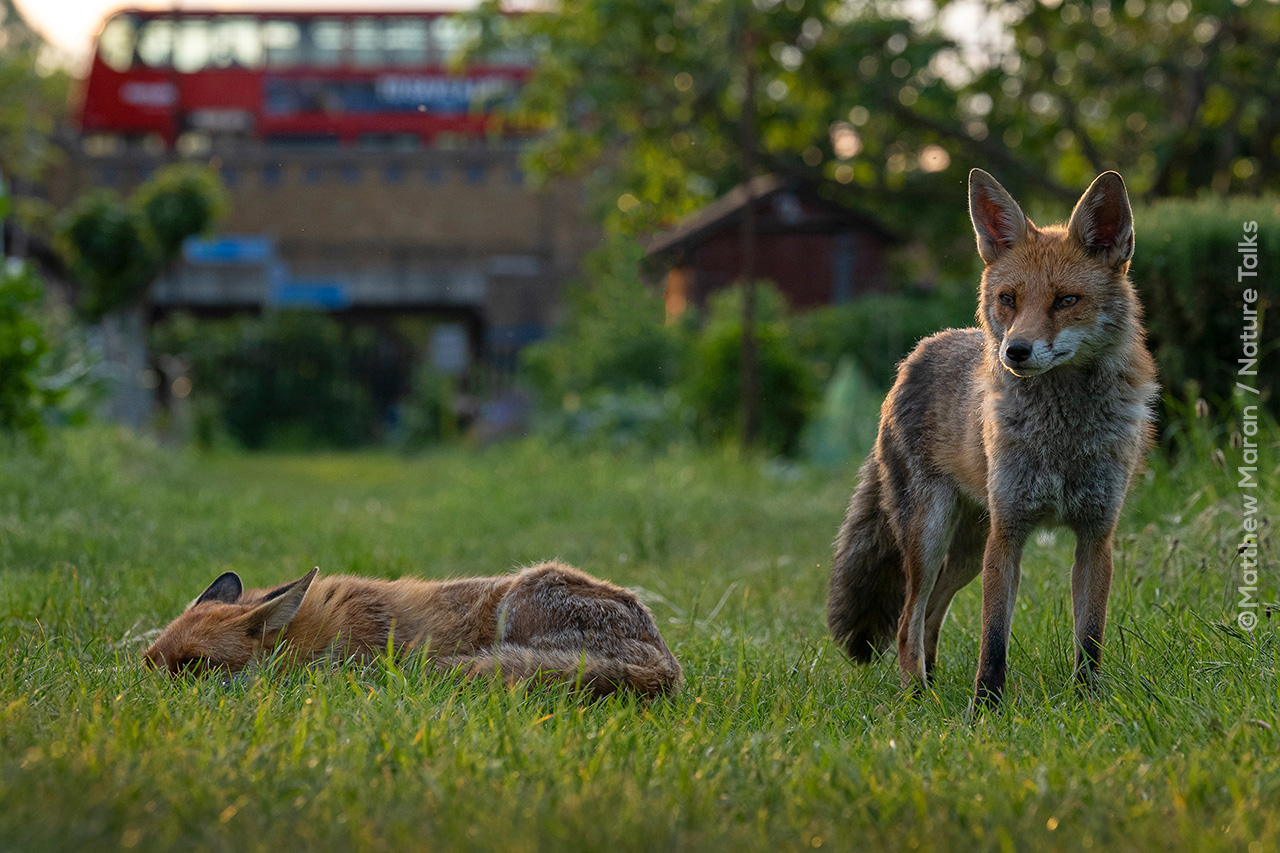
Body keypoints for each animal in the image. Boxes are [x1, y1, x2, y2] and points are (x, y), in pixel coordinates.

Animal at [829, 166, 1162, 701]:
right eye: (1008, 299)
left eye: (1066, 301)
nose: (1015, 351)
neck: (1060, 437)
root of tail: (917, 353)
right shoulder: (1008, 535)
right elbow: (994, 638)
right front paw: (985, 704)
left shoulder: (1096, 535)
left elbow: (1089, 638)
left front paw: (1088, 700)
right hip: (932, 536)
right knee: (906, 620)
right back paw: (916, 695)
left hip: (965, 551)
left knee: (929, 614)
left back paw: (932, 683)